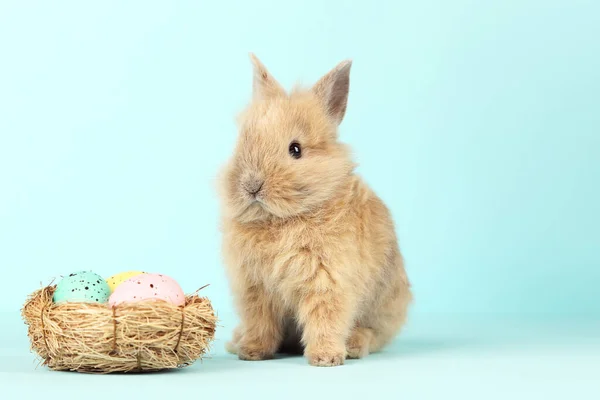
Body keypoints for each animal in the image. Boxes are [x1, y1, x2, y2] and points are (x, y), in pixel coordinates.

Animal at [219, 54, 412, 368]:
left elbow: (325, 317)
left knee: (373, 334)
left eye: (295, 149)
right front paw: (252, 352)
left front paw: (325, 357)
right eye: (242, 142)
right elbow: (260, 323)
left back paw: (353, 345)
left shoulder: (328, 279)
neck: (282, 219)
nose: (251, 185)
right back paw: (237, 342)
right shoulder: (255, 289)